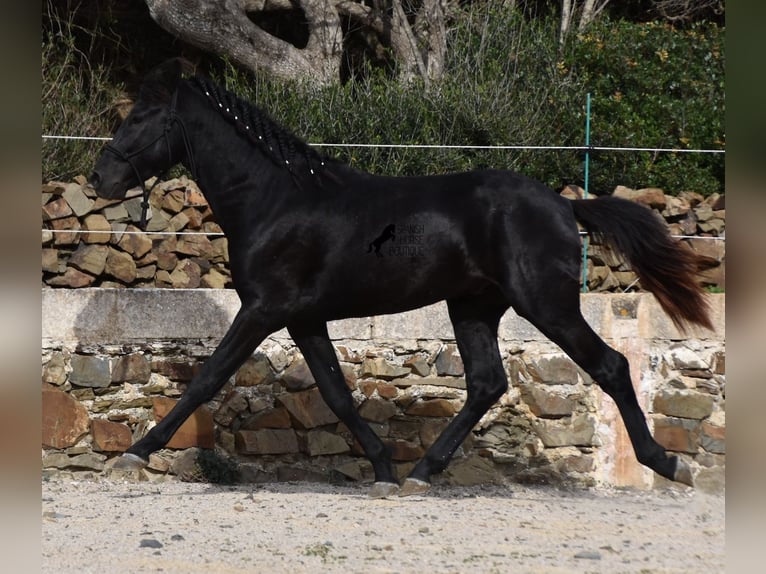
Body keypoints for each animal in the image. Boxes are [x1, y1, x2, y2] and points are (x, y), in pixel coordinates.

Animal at [88, 59, 712, 500]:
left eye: (140, 119)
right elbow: (337, 395)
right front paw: (385, 469)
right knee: (487, 383)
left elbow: (206, 379)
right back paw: (421, 473)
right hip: (474, 306)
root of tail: (563, 205)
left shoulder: (265, 308)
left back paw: (669, 464)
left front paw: (135, 455)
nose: (100, 178)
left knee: (610, 366)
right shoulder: (304, 317)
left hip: (546, 304)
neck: (275, 200)